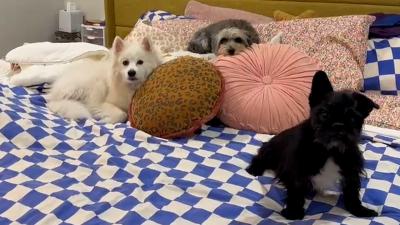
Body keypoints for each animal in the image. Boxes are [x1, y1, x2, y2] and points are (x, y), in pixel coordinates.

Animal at [245, 71, 380, 220]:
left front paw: (359, 210)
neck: (329, 150)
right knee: (260, 157)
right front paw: (294, 212)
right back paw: (254, 169)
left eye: (352, 118)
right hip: (271, 151)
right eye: (324, 114)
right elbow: (296, 190)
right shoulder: (297, 169)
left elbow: (352, 191)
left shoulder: (351, 169)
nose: (338, 125)